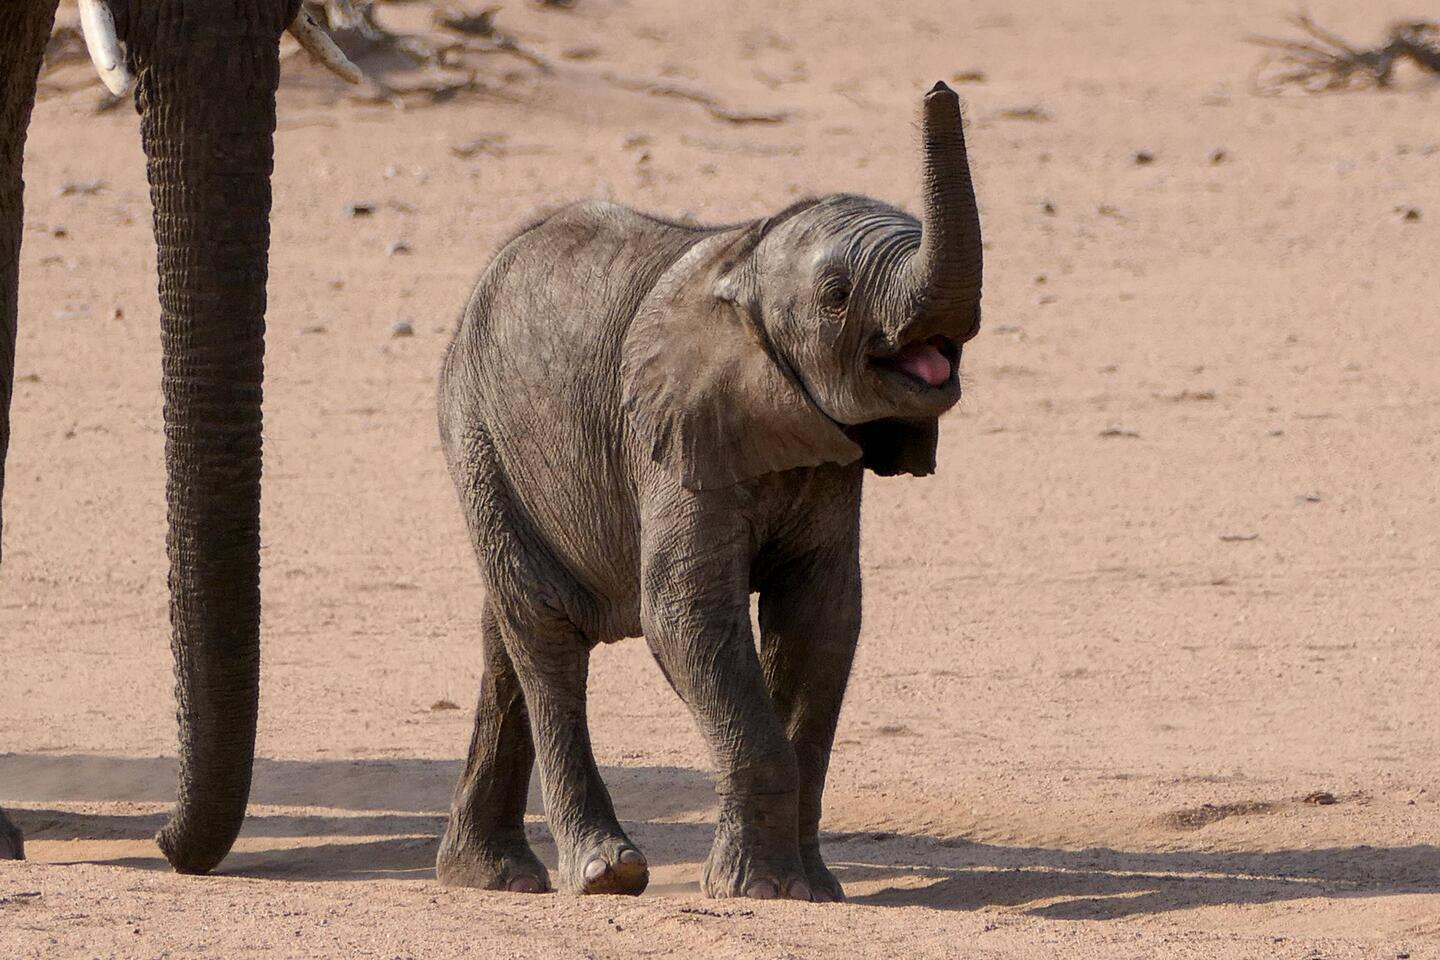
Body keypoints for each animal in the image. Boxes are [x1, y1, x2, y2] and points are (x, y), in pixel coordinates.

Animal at [434, 81, 983, 901]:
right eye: (836, 295)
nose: (938, 89)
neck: (744, 259)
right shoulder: (672, 436)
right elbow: (684, 615)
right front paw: (761, 891)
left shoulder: (828, 465)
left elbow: (821, 620)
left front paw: (814, 890)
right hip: (478, 438)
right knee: (547, 634)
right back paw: (604, 873)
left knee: (502, 634)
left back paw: (487, 876)